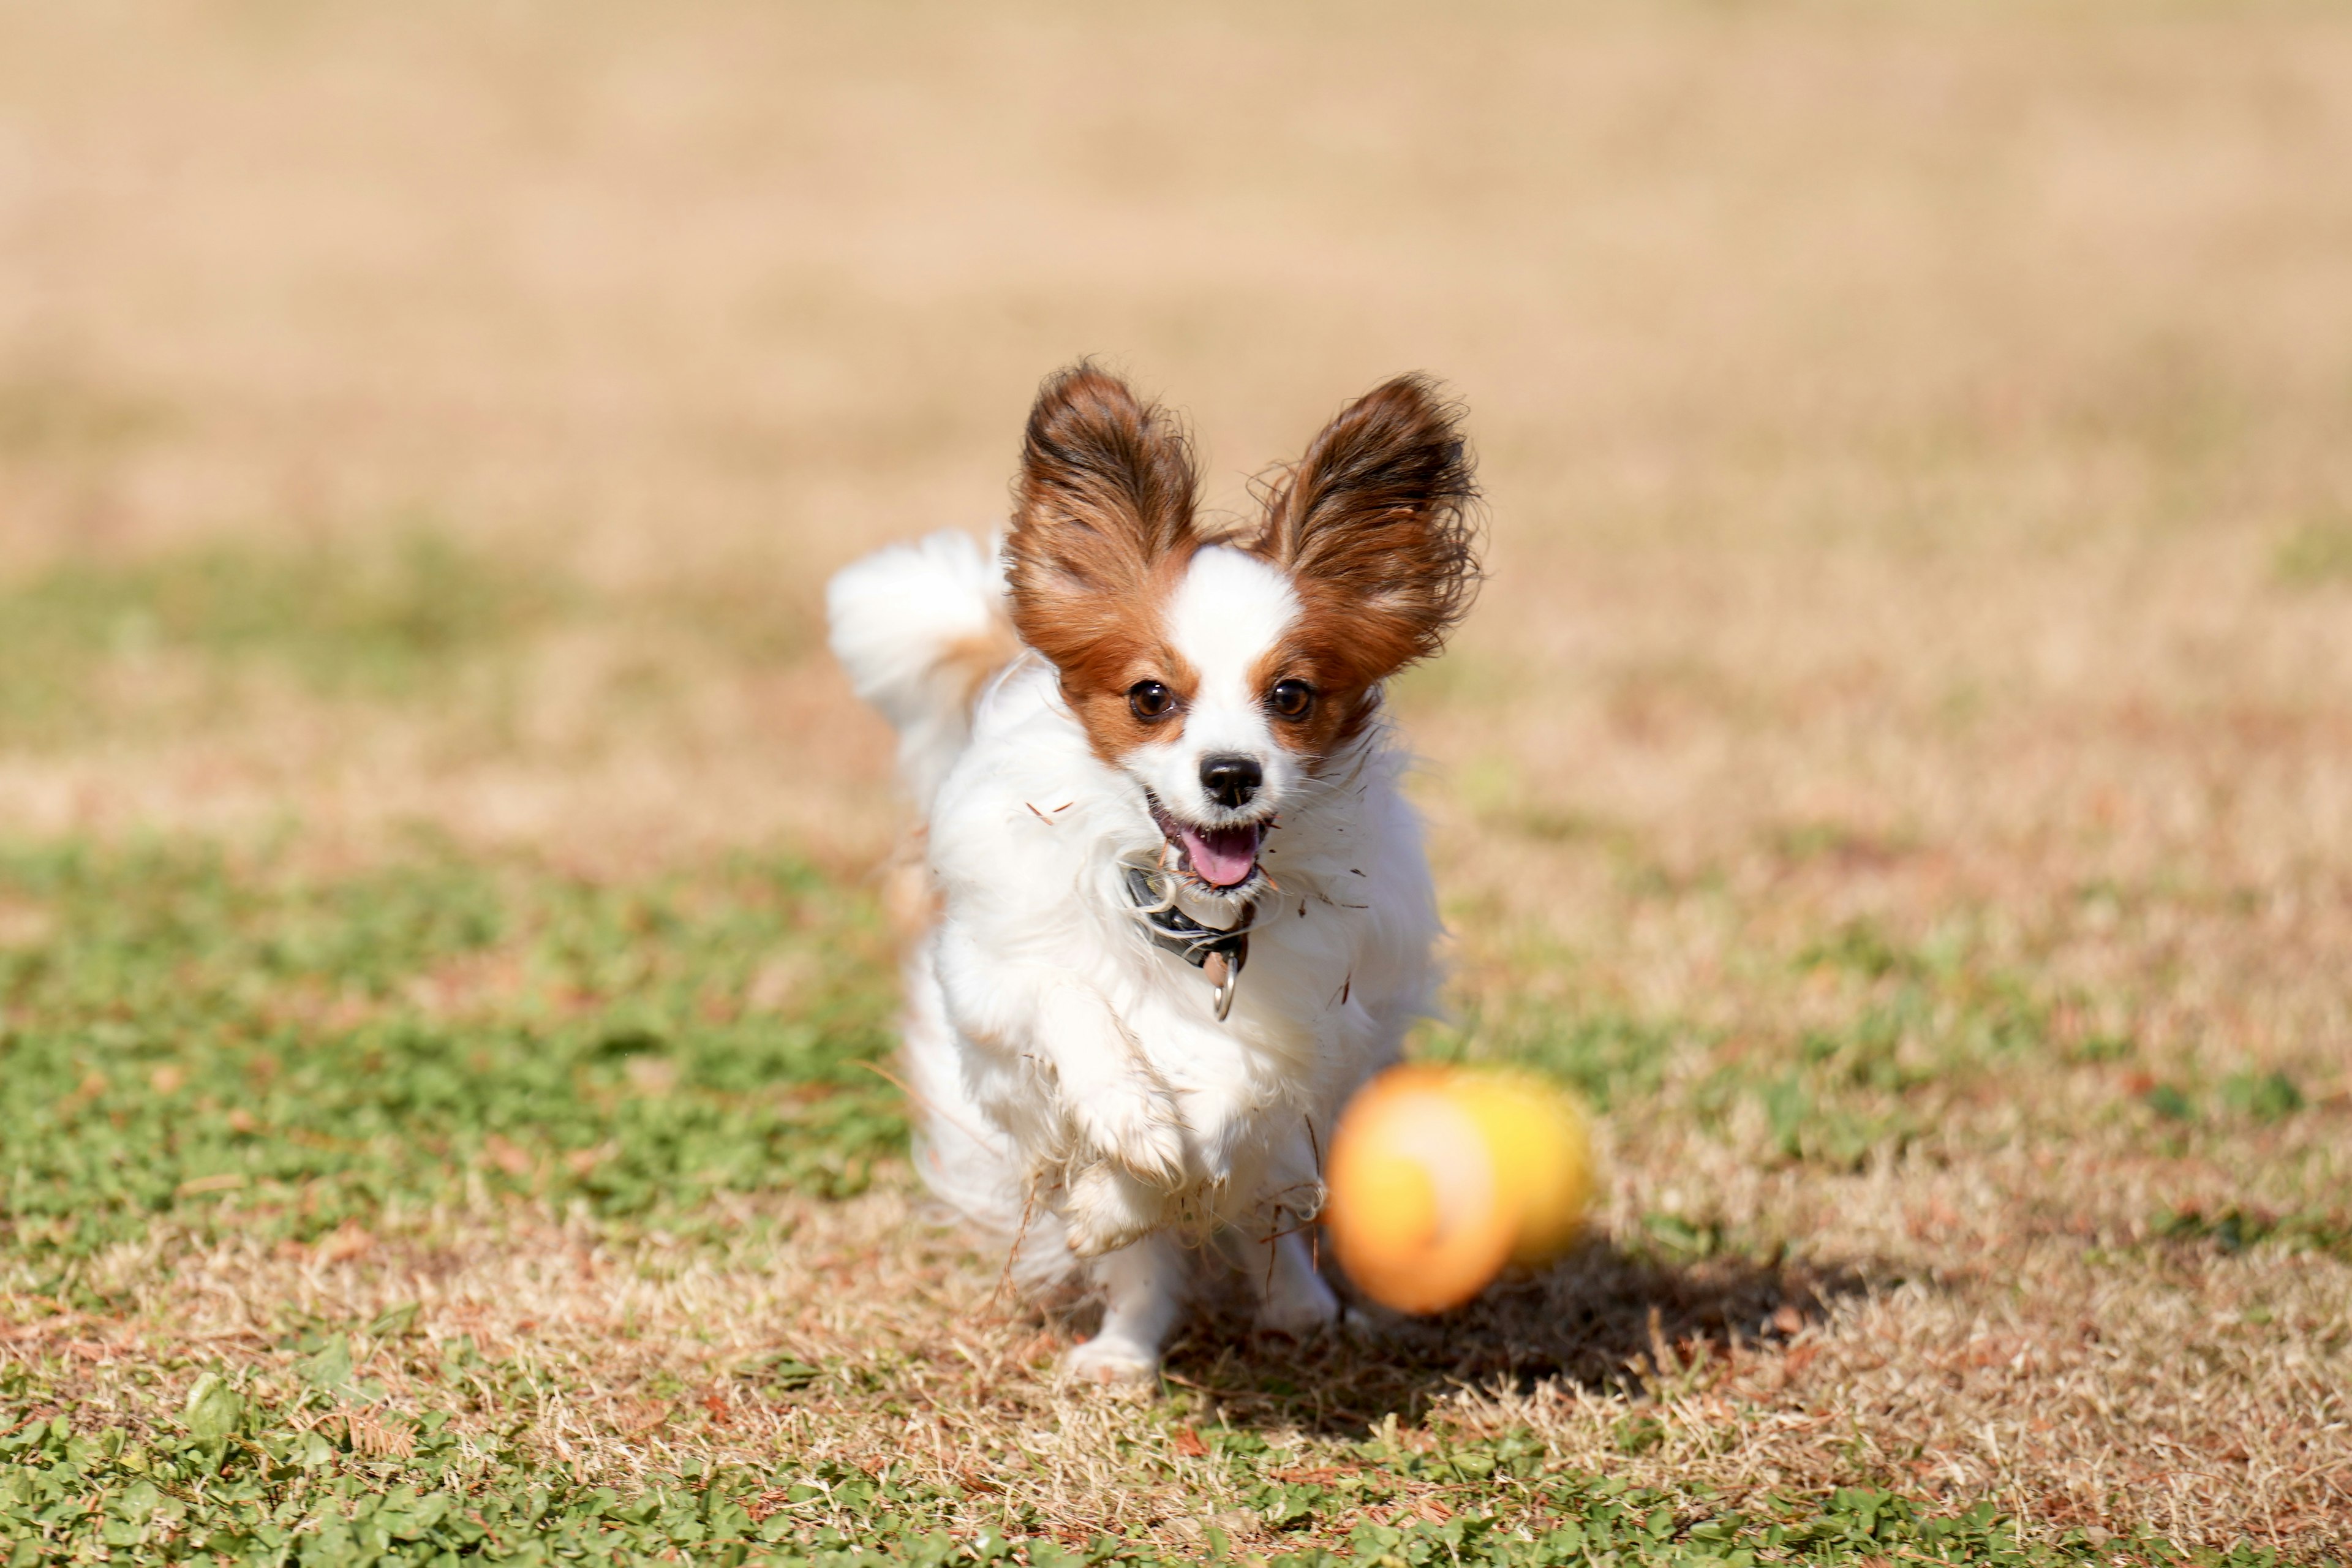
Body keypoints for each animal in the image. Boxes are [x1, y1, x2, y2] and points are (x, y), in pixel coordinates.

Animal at [827, 369, 1477, 1382]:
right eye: (1150, 698)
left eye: (1291, 697)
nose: (1231, 774)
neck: (1192, 923)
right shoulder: (992, 979)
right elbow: (1073, 1007)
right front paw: (1128, 1116)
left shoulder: (1305, 1025)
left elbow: (1228, 1100)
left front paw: (1128, 1182)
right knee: (1145, 1271)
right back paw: (1123, 1353)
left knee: (1267, 1214)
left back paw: (1296, 1305)